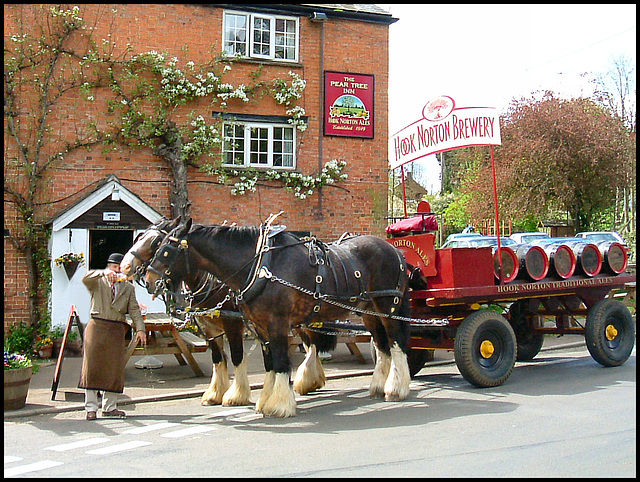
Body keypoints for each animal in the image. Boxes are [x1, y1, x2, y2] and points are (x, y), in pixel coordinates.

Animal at [122, 218, 338, 406]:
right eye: (140, 237)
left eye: (156, 243)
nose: (125, 267)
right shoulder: (209, 328)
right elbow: (218, 358)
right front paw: (215, 393)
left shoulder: (233, 324)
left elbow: (236, 356)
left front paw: (236, 395)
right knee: (310, 344)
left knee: (311, 344)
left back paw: (307, 379)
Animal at [144, 217, 412, 416]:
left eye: (165, 249)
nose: (148, 281)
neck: (261, 266)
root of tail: (394, 250)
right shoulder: (260, 327)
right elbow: (269, 363)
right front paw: (265, 400)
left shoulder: (276, 324)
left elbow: (281, 361)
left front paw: (280, 404)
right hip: (369, 311)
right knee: (381, 346)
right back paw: (377, 386)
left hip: (388, 308)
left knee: (396, 343)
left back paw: (396, 389)